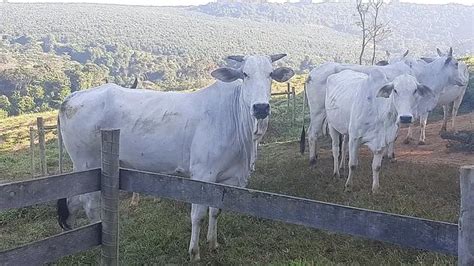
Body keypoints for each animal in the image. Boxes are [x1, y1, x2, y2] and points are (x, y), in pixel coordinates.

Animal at [57, 54, 294, 262]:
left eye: (271, 74)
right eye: (245, 74)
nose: (261, 108)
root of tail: (71, 98)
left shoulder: (226, 178)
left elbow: (215, 210)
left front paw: (213, 243)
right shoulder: (202, 174)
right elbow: (198, 214)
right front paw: (194, 252)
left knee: (73, 200)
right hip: (87, 163)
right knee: (89, 203)